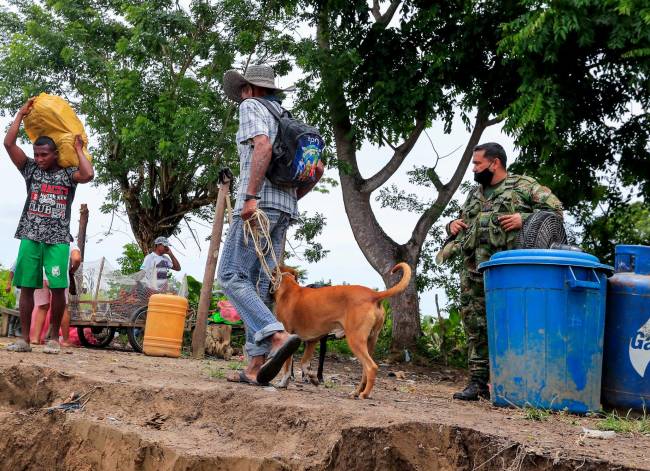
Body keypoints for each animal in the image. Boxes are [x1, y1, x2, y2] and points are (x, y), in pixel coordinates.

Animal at [274, 264, 410, 400]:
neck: (288, 289)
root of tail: (374, 294)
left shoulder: (290, 336)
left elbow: (287, 366)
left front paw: (283, 383)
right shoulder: (312, 341)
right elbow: (304, 363)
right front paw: (313, 378)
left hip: (355, 340)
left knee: (371, 367)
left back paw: (365, 394)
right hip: (370, 341)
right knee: (365, 371)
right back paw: (356, 392)